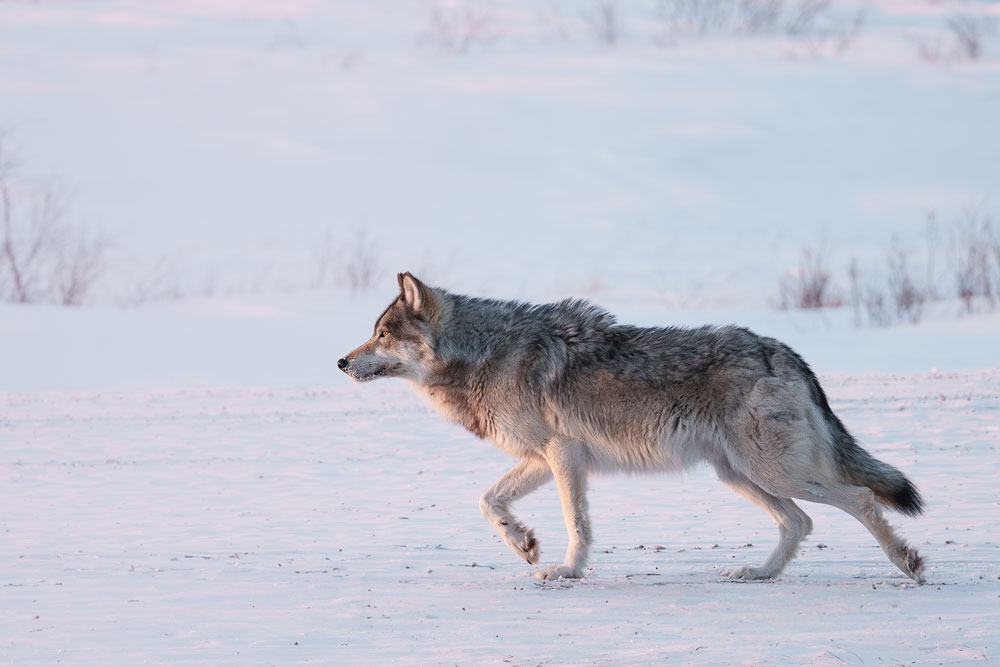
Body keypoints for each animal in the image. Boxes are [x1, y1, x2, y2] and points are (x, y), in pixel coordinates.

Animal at [339, 273, 925, 583]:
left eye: (383, 334)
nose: (341, 362)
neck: (483, 354)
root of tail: (786, 352)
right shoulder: (544, 457)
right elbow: (488, 501)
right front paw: (525, 544)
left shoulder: (562, 453)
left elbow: (576, 522)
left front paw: (567, 572)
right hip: (740, 477)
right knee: (800, 522)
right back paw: (758, 574)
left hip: (772, 472)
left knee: (859, 499)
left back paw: (907, 562)